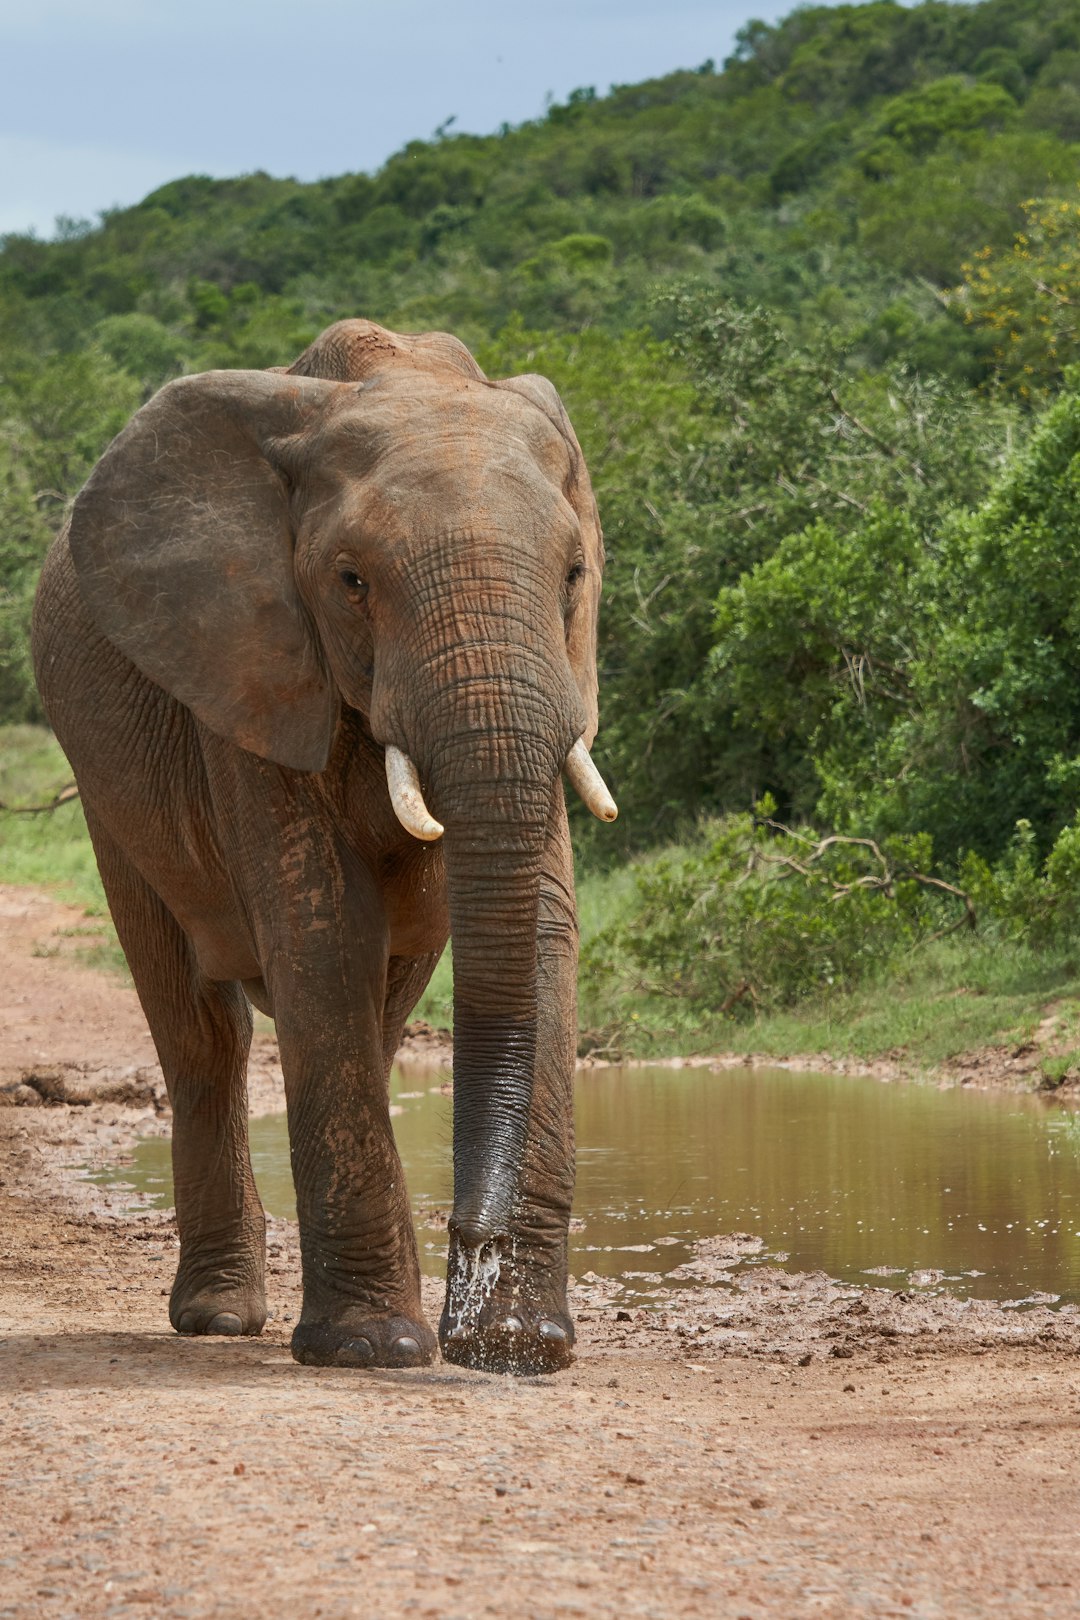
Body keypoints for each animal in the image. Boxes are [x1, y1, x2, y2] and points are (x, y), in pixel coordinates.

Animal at [31, 319, 615, 1380]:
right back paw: (221, 1317)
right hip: (103, 786)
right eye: (352, 582)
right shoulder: (249, 663)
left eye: (573, 576)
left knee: (379, 1010)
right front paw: (374, 1350)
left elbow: (547, 924)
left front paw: (517, 1346)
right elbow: (322, 924)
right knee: (202, 1030)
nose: (475, 1249)